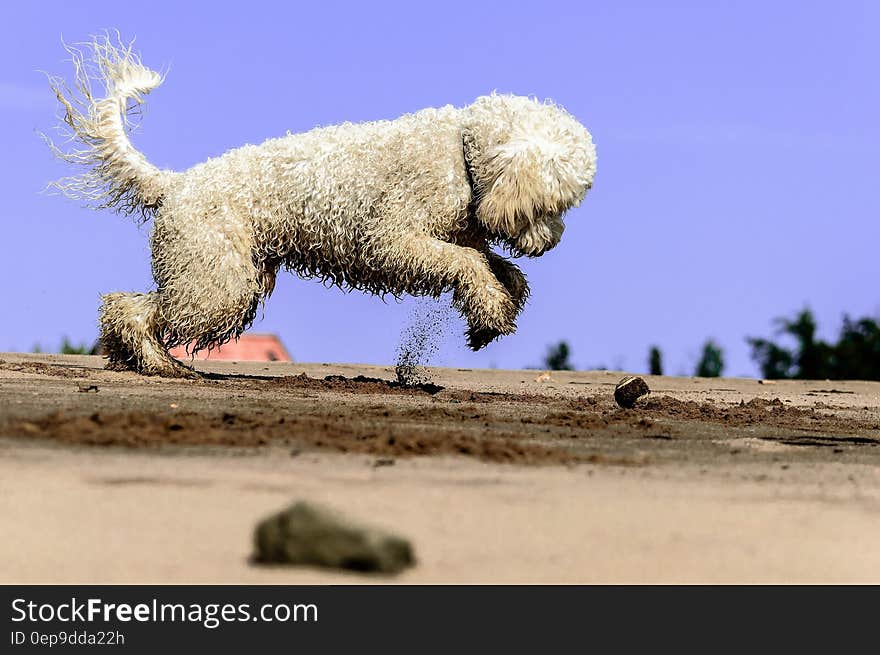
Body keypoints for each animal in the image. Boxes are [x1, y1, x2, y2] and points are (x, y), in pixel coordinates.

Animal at [49, 36, 600, 376]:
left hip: (230, 280)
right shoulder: (392, 240)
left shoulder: (455, 234)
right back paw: (155, 362)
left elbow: (498, 269)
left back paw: (139, 360)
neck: (461, 154)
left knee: (130, 307)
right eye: (550, 205)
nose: (552, 242)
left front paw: (494, 314)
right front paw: (490, 311)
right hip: (215, 283)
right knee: (130, 308)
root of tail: (175, 183)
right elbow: (467, 265)